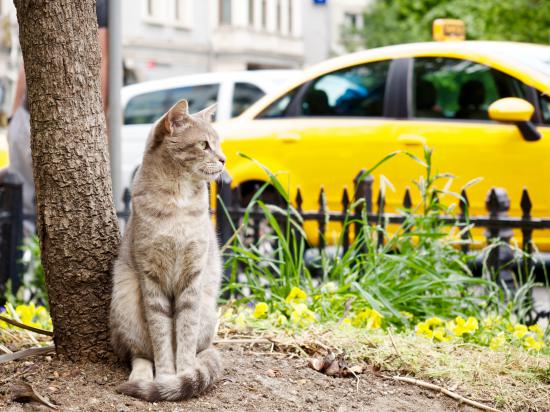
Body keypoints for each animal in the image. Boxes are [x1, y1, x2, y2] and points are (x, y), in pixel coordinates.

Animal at [110, 98, 226, 400]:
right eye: (204, 145)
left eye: (218, 143)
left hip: (207, 309)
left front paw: (183, 373)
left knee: (200, 349)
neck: (179, 203)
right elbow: (161, 337)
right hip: (126, 301)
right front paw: (165, 377)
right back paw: (141, 376)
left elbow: (185, 334)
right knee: (140, 355)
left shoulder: (193, 277)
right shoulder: (151, 278)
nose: (223, 159)